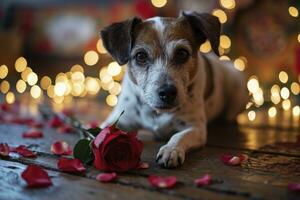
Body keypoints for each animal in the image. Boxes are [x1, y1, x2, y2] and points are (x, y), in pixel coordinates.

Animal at [100, 10, 248, 167]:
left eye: (182, 53)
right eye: (141, 56)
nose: (167, 92)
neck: (156, 113)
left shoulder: (195, 128)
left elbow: (179, 136)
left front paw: (171, 150)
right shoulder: (121, 119)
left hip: (238, 86)